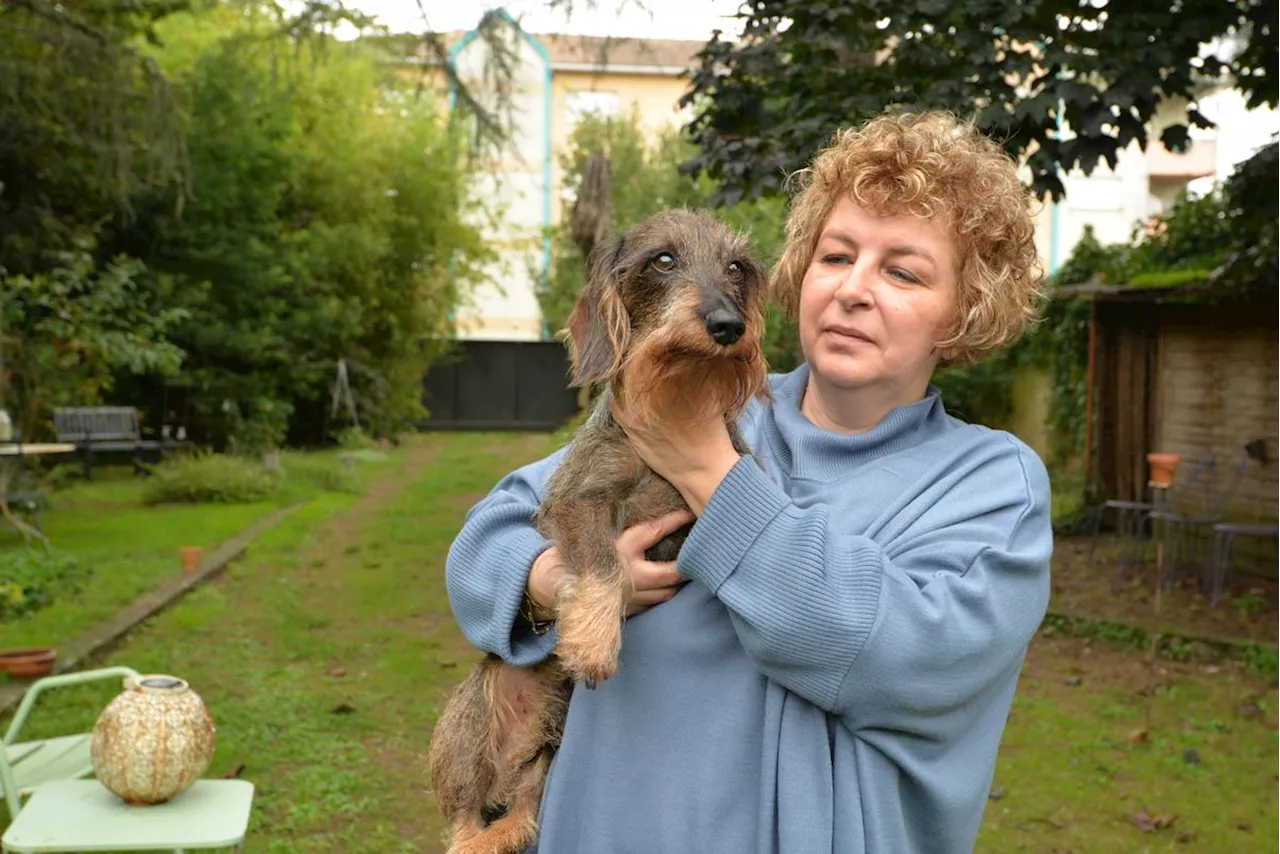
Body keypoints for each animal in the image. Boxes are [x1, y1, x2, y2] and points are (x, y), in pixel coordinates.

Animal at [430, 208, 768, 854]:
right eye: (663, 260)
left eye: (737, 267)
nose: (727, 325)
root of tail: (508, 773)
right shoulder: (576, 503)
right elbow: (606, 564)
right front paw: (591, 641)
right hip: (470, 720)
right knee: (461, 821)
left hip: (546, 763)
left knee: (524, 814)